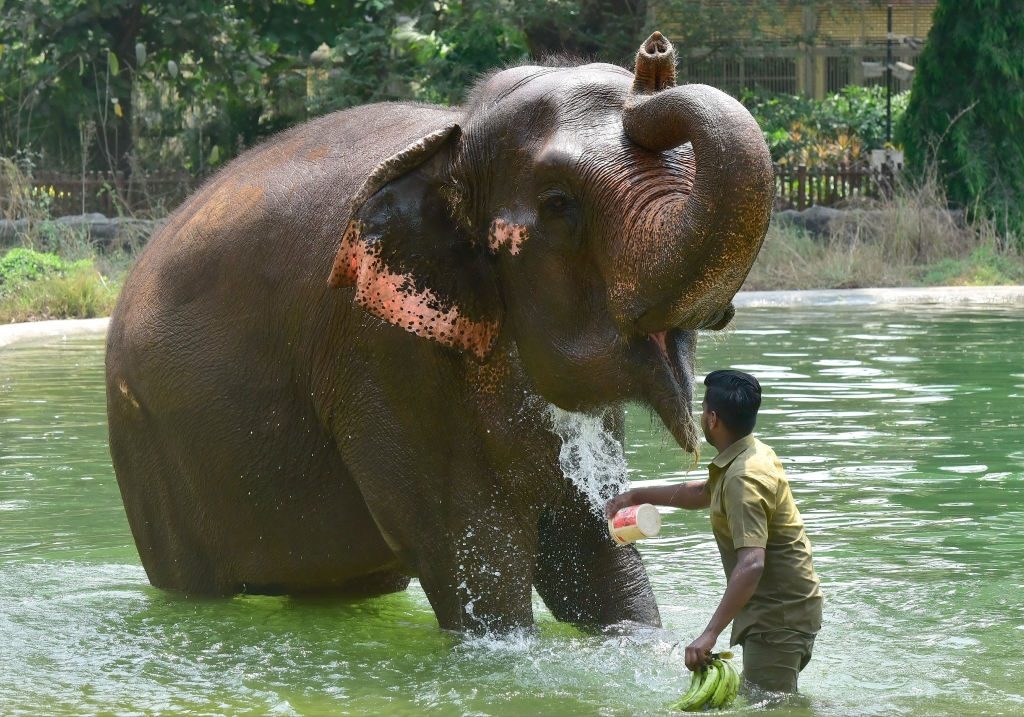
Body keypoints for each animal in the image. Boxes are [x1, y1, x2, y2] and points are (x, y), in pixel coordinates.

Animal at [105, 30, 774, 630]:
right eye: (559, 204)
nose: (654, 55)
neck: (457, 139)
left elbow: (591, 548)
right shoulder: (382, 354)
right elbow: (473, 558)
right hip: (152, 451)